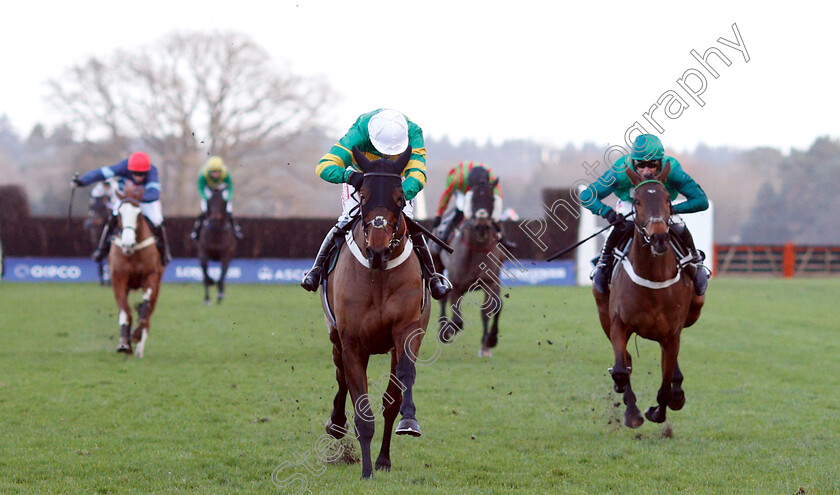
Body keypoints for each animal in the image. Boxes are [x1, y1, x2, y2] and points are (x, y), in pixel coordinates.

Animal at [436, 170, 502, 356]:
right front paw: (447, 331)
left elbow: (491, 309)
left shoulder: (490, 282)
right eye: (473, 199)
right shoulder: (456, 285)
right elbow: (457, 320)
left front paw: (489, 341)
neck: (476, 249)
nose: (482, 227)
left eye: (491, 199)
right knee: (442, 300)